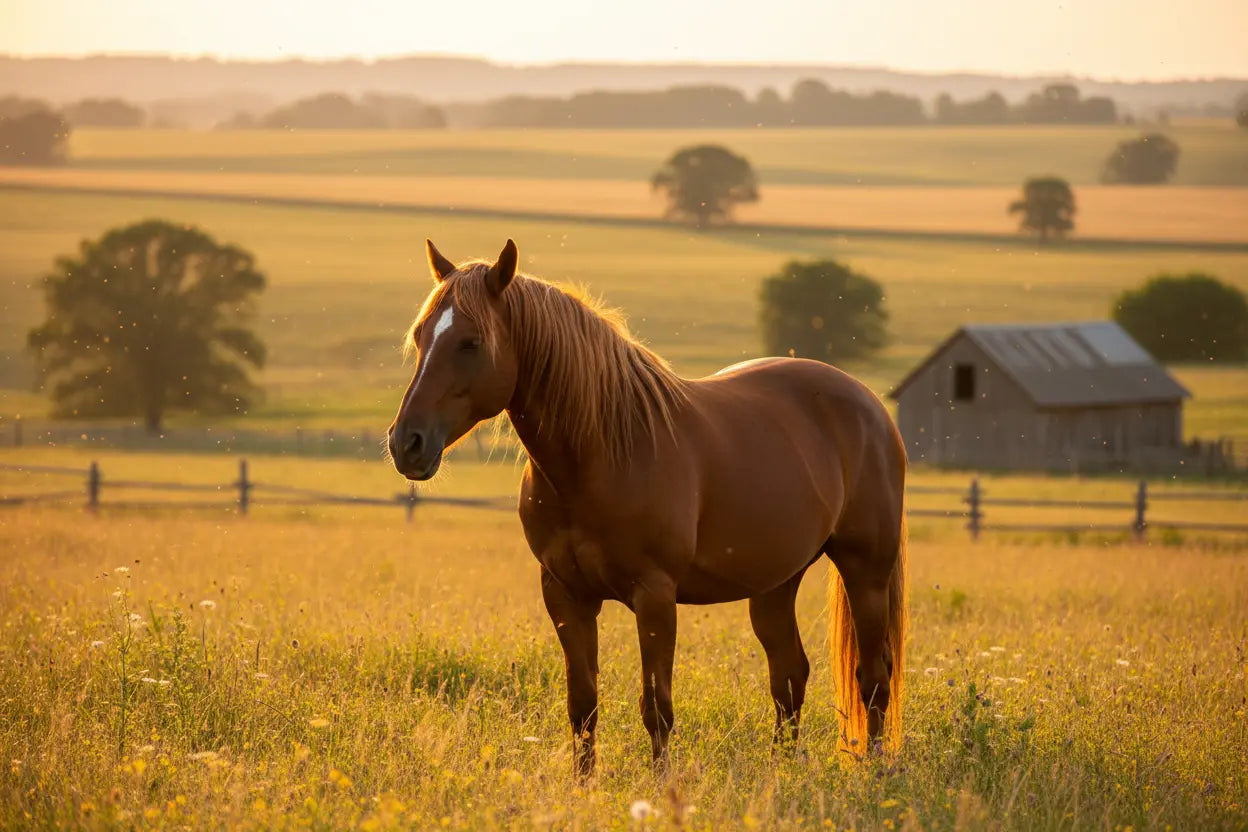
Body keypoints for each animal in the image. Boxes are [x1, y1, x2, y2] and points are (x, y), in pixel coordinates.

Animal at [388, 239, 908, 775]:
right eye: (421, 336)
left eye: (470, 342)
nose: (407, 443)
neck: (602, 453)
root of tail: (868, 403)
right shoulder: (565, 595)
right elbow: (583, 705)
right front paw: (583, 786)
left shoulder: (654, 594)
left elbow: (656, 707)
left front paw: (661, 786)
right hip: (775, 582)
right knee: (789, 674)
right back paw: (780, 770)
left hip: (865, 571)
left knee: (873, 678)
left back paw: (875, 768)